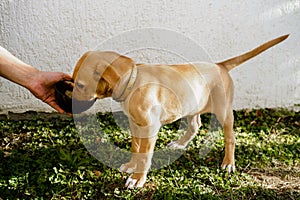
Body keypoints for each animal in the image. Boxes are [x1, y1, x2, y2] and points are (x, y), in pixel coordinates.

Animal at [71, 34, 288, 188]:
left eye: (80, 85)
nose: (69, 104)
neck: (132, 82)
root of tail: (220, 66)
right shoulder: (135, 123)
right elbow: (135, 147)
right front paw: (132, 165)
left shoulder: (150, 128)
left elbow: (145, 155)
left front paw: (137, 178)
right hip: (193, 105)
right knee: (195, 125)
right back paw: (180, 144)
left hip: (224, 111)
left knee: (230, 137)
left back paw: (228, 163)